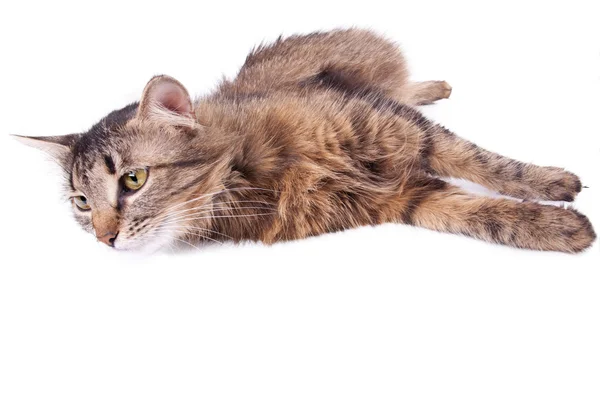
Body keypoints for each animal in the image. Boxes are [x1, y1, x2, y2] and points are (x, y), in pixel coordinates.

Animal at [14, 28, 596, 252]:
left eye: (133, 180)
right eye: (81, 203)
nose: (103, 239)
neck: (246, 175)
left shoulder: (397, 126)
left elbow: (491, 165)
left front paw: (556, 184)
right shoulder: (400, 198)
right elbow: (485, 215)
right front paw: (560, 228)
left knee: (406, 88)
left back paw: (435, 86)